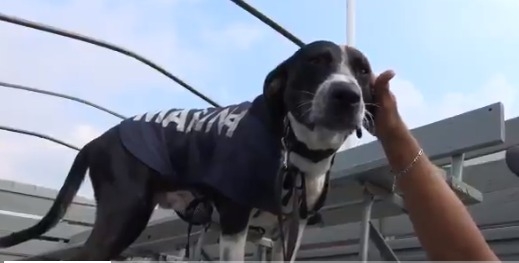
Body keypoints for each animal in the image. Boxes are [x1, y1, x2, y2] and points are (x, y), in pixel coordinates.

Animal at [0, 40, 376, 262]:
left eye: (363, 70)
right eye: (315, 61)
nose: (347, 95)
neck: (298, 150)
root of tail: (97, 140)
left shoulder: (292, 228)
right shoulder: (234, 221)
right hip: (124, 216)